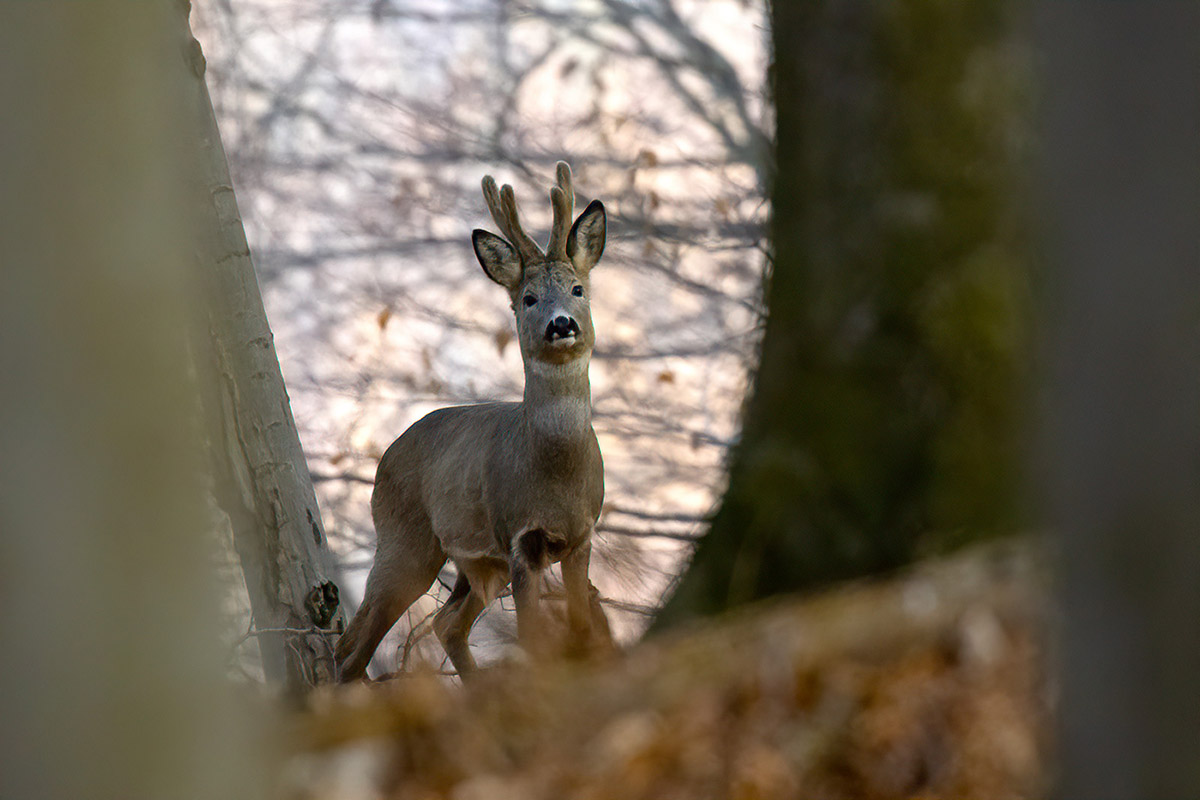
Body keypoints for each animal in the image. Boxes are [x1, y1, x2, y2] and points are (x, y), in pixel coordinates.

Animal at [335, 162, 611, 681]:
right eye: (528, 298)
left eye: (578, 289)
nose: (562, 324)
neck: (556, 472)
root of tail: (388, 452)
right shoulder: (518, 536)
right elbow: (532, 638)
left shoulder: (581, 535)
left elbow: (583, 628)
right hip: (405, 538)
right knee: (357, 644)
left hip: (476, 564)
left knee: (443, 623)